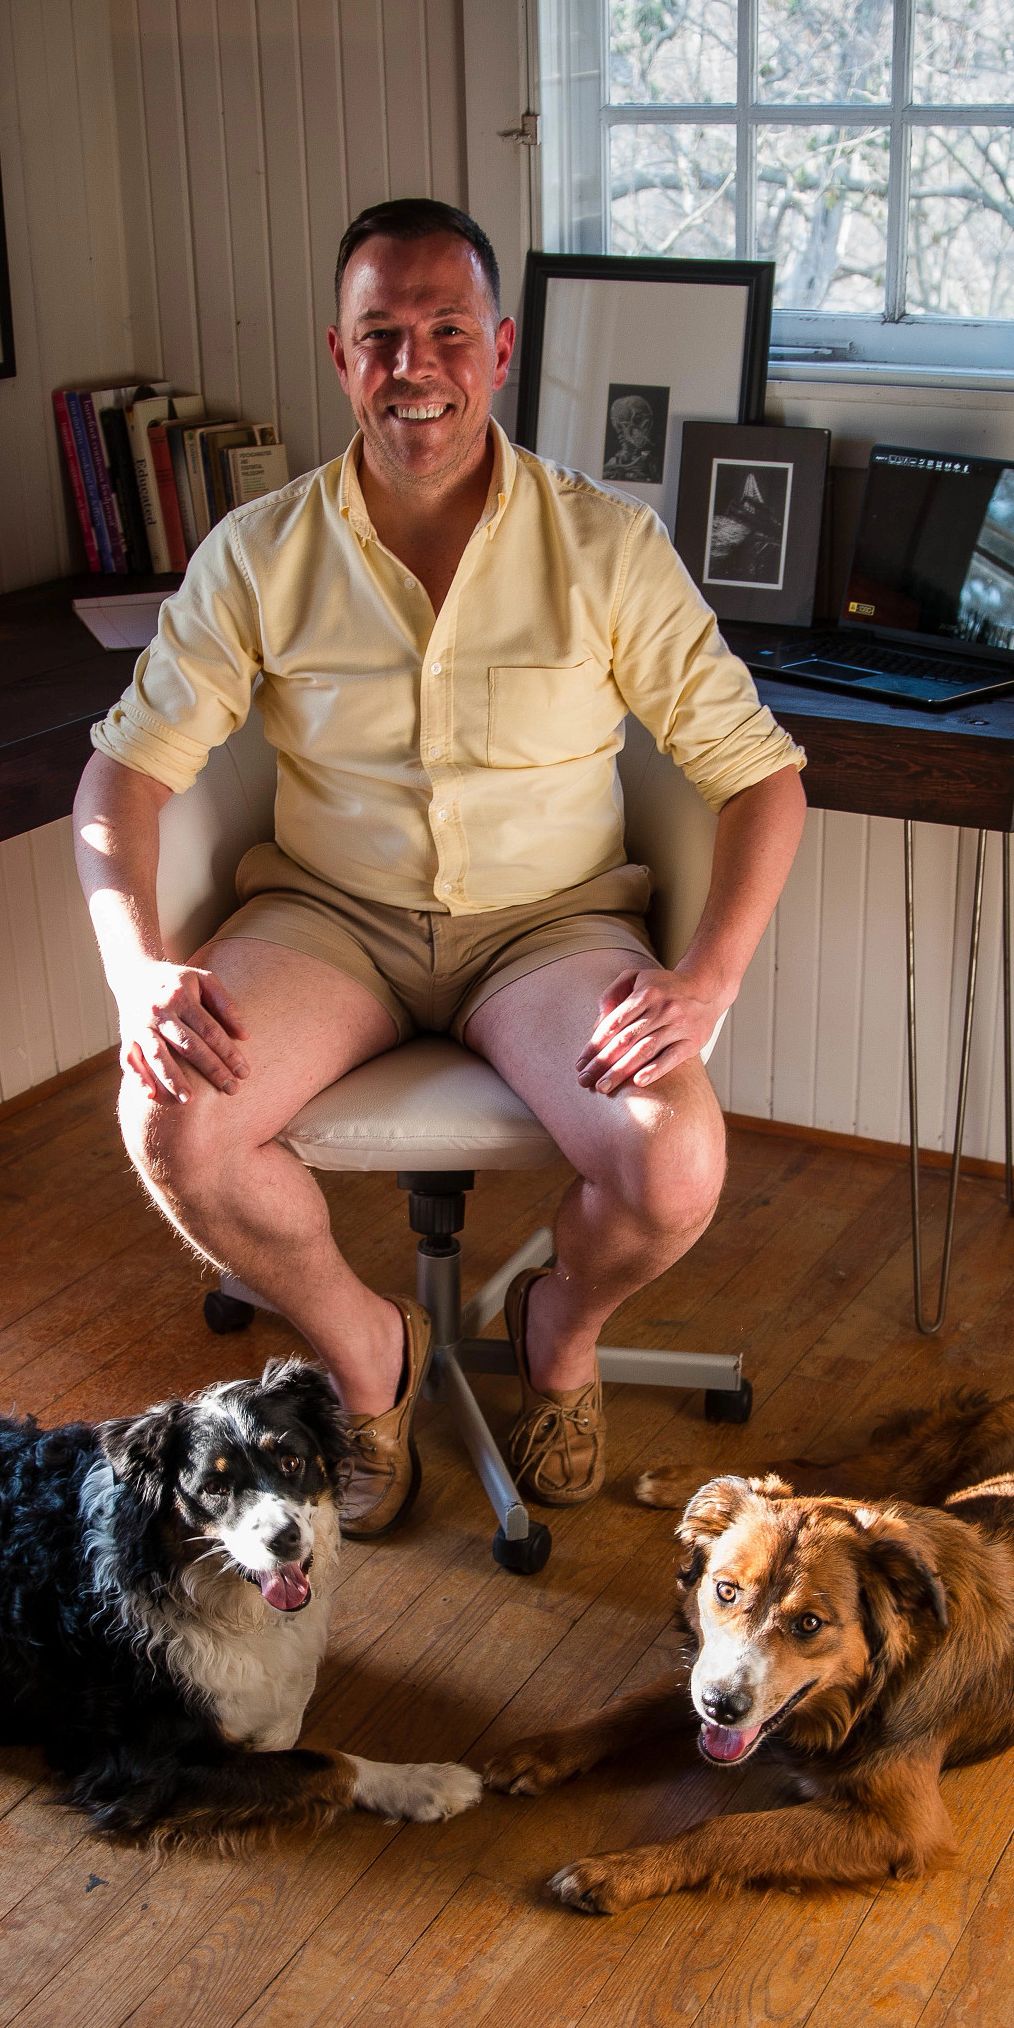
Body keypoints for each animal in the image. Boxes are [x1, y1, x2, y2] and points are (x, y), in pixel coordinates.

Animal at [0, 1362, 482, 1841]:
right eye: (214, 1487)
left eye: (291, 1461)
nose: (285, 1539)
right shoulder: (144, 1768)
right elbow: (317, 1759)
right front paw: (425, 1783)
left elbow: (289, 1710)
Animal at [480, 1387, 1014, 1906]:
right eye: (726, 1590)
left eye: (810, 1623)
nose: (721, 1707)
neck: (869, 1693)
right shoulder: (702, 1668)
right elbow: (628, 1707)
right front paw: (541, 1752)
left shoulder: (902, 1824)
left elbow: (724, 1832)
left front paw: (619, 1871)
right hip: (900, 1475)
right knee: (808, 1472)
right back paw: (677, 1482)